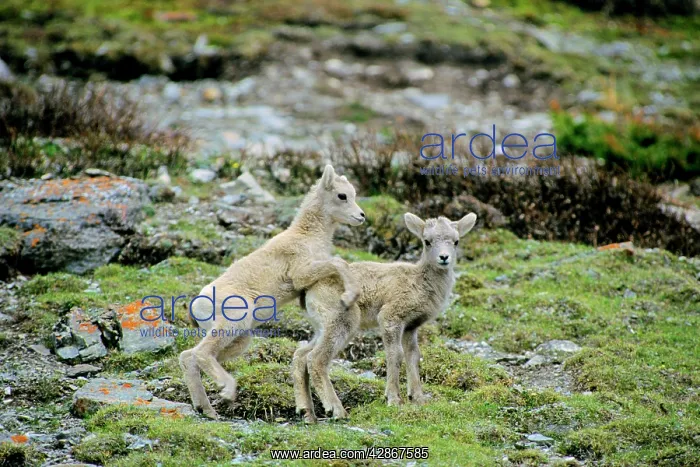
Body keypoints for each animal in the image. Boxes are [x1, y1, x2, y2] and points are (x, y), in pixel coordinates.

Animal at [179, 165, 366, 419]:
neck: (308, 236)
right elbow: (339, 263)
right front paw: (350, 295)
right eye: (342, 195)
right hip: (232, 323)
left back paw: (207, 410)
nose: (361, 216)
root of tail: (196, 306)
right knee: (201, 354)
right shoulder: (301, 273)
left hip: (239, 339)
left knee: (188, 356)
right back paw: (227, 390)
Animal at [293, 212, 477, 422]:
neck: (420, 282)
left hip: (321, 326)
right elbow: (395, 354)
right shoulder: (390, 317)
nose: (444, 257)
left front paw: (418, 398)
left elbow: (413, 356)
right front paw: (394, 399)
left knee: (300, 356)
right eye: (427, 241)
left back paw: (307, 412)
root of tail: (307, 290)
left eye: (456, 241)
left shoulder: (411, 326)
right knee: (315, 359)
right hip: (341, 320)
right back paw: (336, 410)